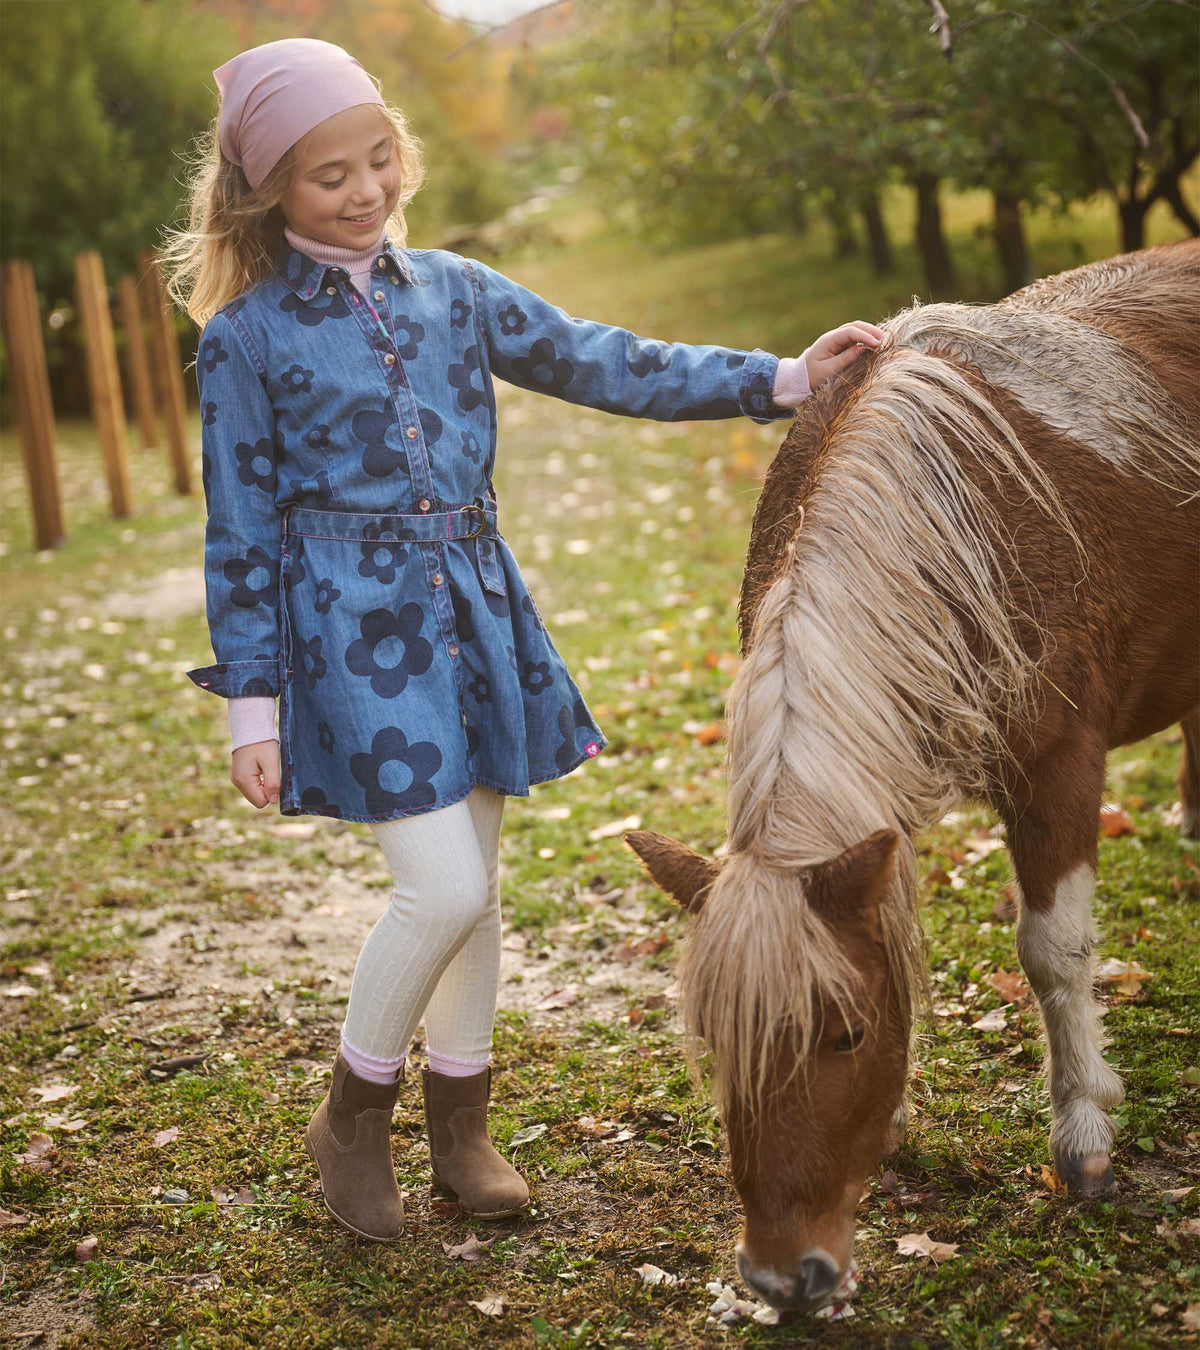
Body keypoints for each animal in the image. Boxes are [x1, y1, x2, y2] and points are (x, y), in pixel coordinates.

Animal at [624, 238, 1200, 1314]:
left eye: (847, 1036)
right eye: (718, 1044)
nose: (785, 1279)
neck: (967, 515)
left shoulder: (1060, 769)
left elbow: (1055, 953)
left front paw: (1084, 1136)